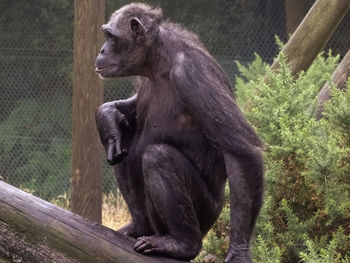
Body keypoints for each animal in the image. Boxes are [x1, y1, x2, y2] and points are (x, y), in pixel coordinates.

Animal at [94, 3, 264, 262]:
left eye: (112, 37)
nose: (103, 49)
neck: (158, 61)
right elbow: (129, 113)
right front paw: (107, 117)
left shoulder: (194, 75)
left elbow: (241, 149)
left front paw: (239, 251)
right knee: (123, 148)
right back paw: (138, 226)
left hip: (206, 215)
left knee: (158, 157)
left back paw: (182, 244)